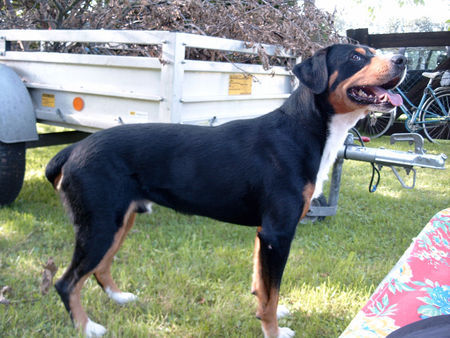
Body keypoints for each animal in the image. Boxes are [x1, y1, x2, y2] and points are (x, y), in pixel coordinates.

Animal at [46, 43, 408, 336]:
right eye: (356, 57)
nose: (402, 59)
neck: (302, 130)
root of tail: (74, 149)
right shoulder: (278, 233)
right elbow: (271, 293)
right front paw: (274, 331)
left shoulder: (265, 232)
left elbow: (263, 288)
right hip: (100, 225)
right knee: (66, 282)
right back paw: (87, 327)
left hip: (119, 221)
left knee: (100, 268)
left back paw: (119, 298)